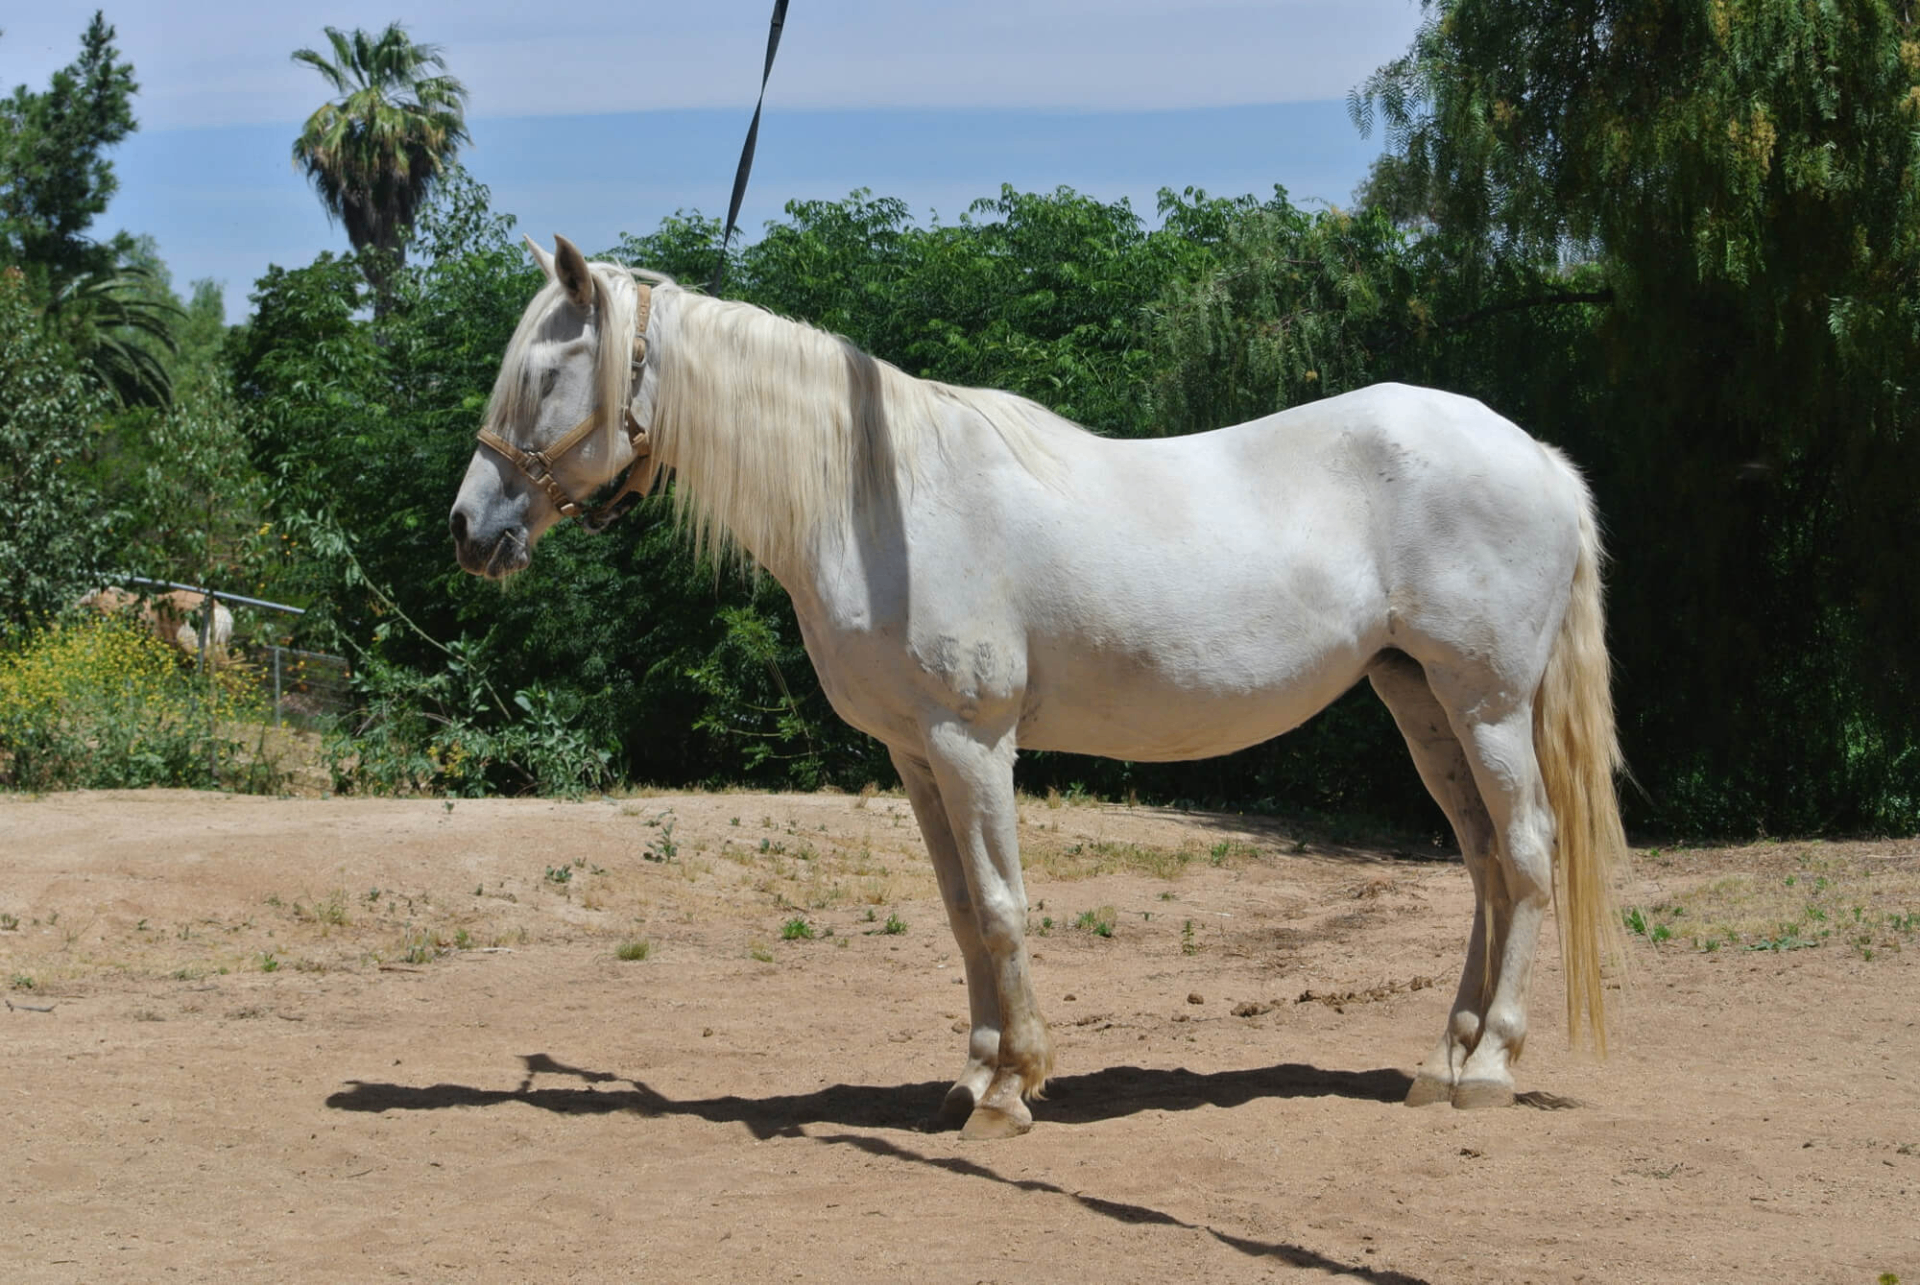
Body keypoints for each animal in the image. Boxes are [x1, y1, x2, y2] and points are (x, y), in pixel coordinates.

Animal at [449, 235, 1629, 1139]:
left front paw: (1012, 1092)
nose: (468, 529)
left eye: (543, 375)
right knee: (1483, 861)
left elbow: (1005, 905)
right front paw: (973, 1074)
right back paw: (1443, 1059)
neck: (879, 502)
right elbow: (963, 911)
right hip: (1418, 698)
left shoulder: (973, 741)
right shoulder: (915, 751)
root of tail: (1533, 454)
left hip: (1485, 705)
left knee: (1526, 855)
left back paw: (1489, 1068)